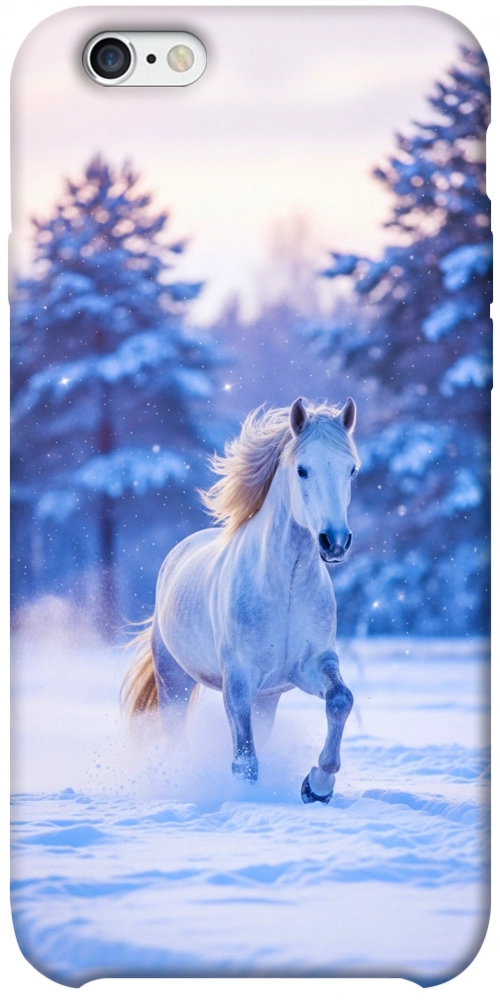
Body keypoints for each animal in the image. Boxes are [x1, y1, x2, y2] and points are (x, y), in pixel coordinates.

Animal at [122, 396, 360, 803]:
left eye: (351, 470)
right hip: (174, 681)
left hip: (267, 698)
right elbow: (245, 761)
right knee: (176, 736)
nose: (335, 542)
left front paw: (317, 786)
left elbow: (340, 700)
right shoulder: (238, 679)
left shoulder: (310, 665)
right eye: (302, 470)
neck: (285, 588)